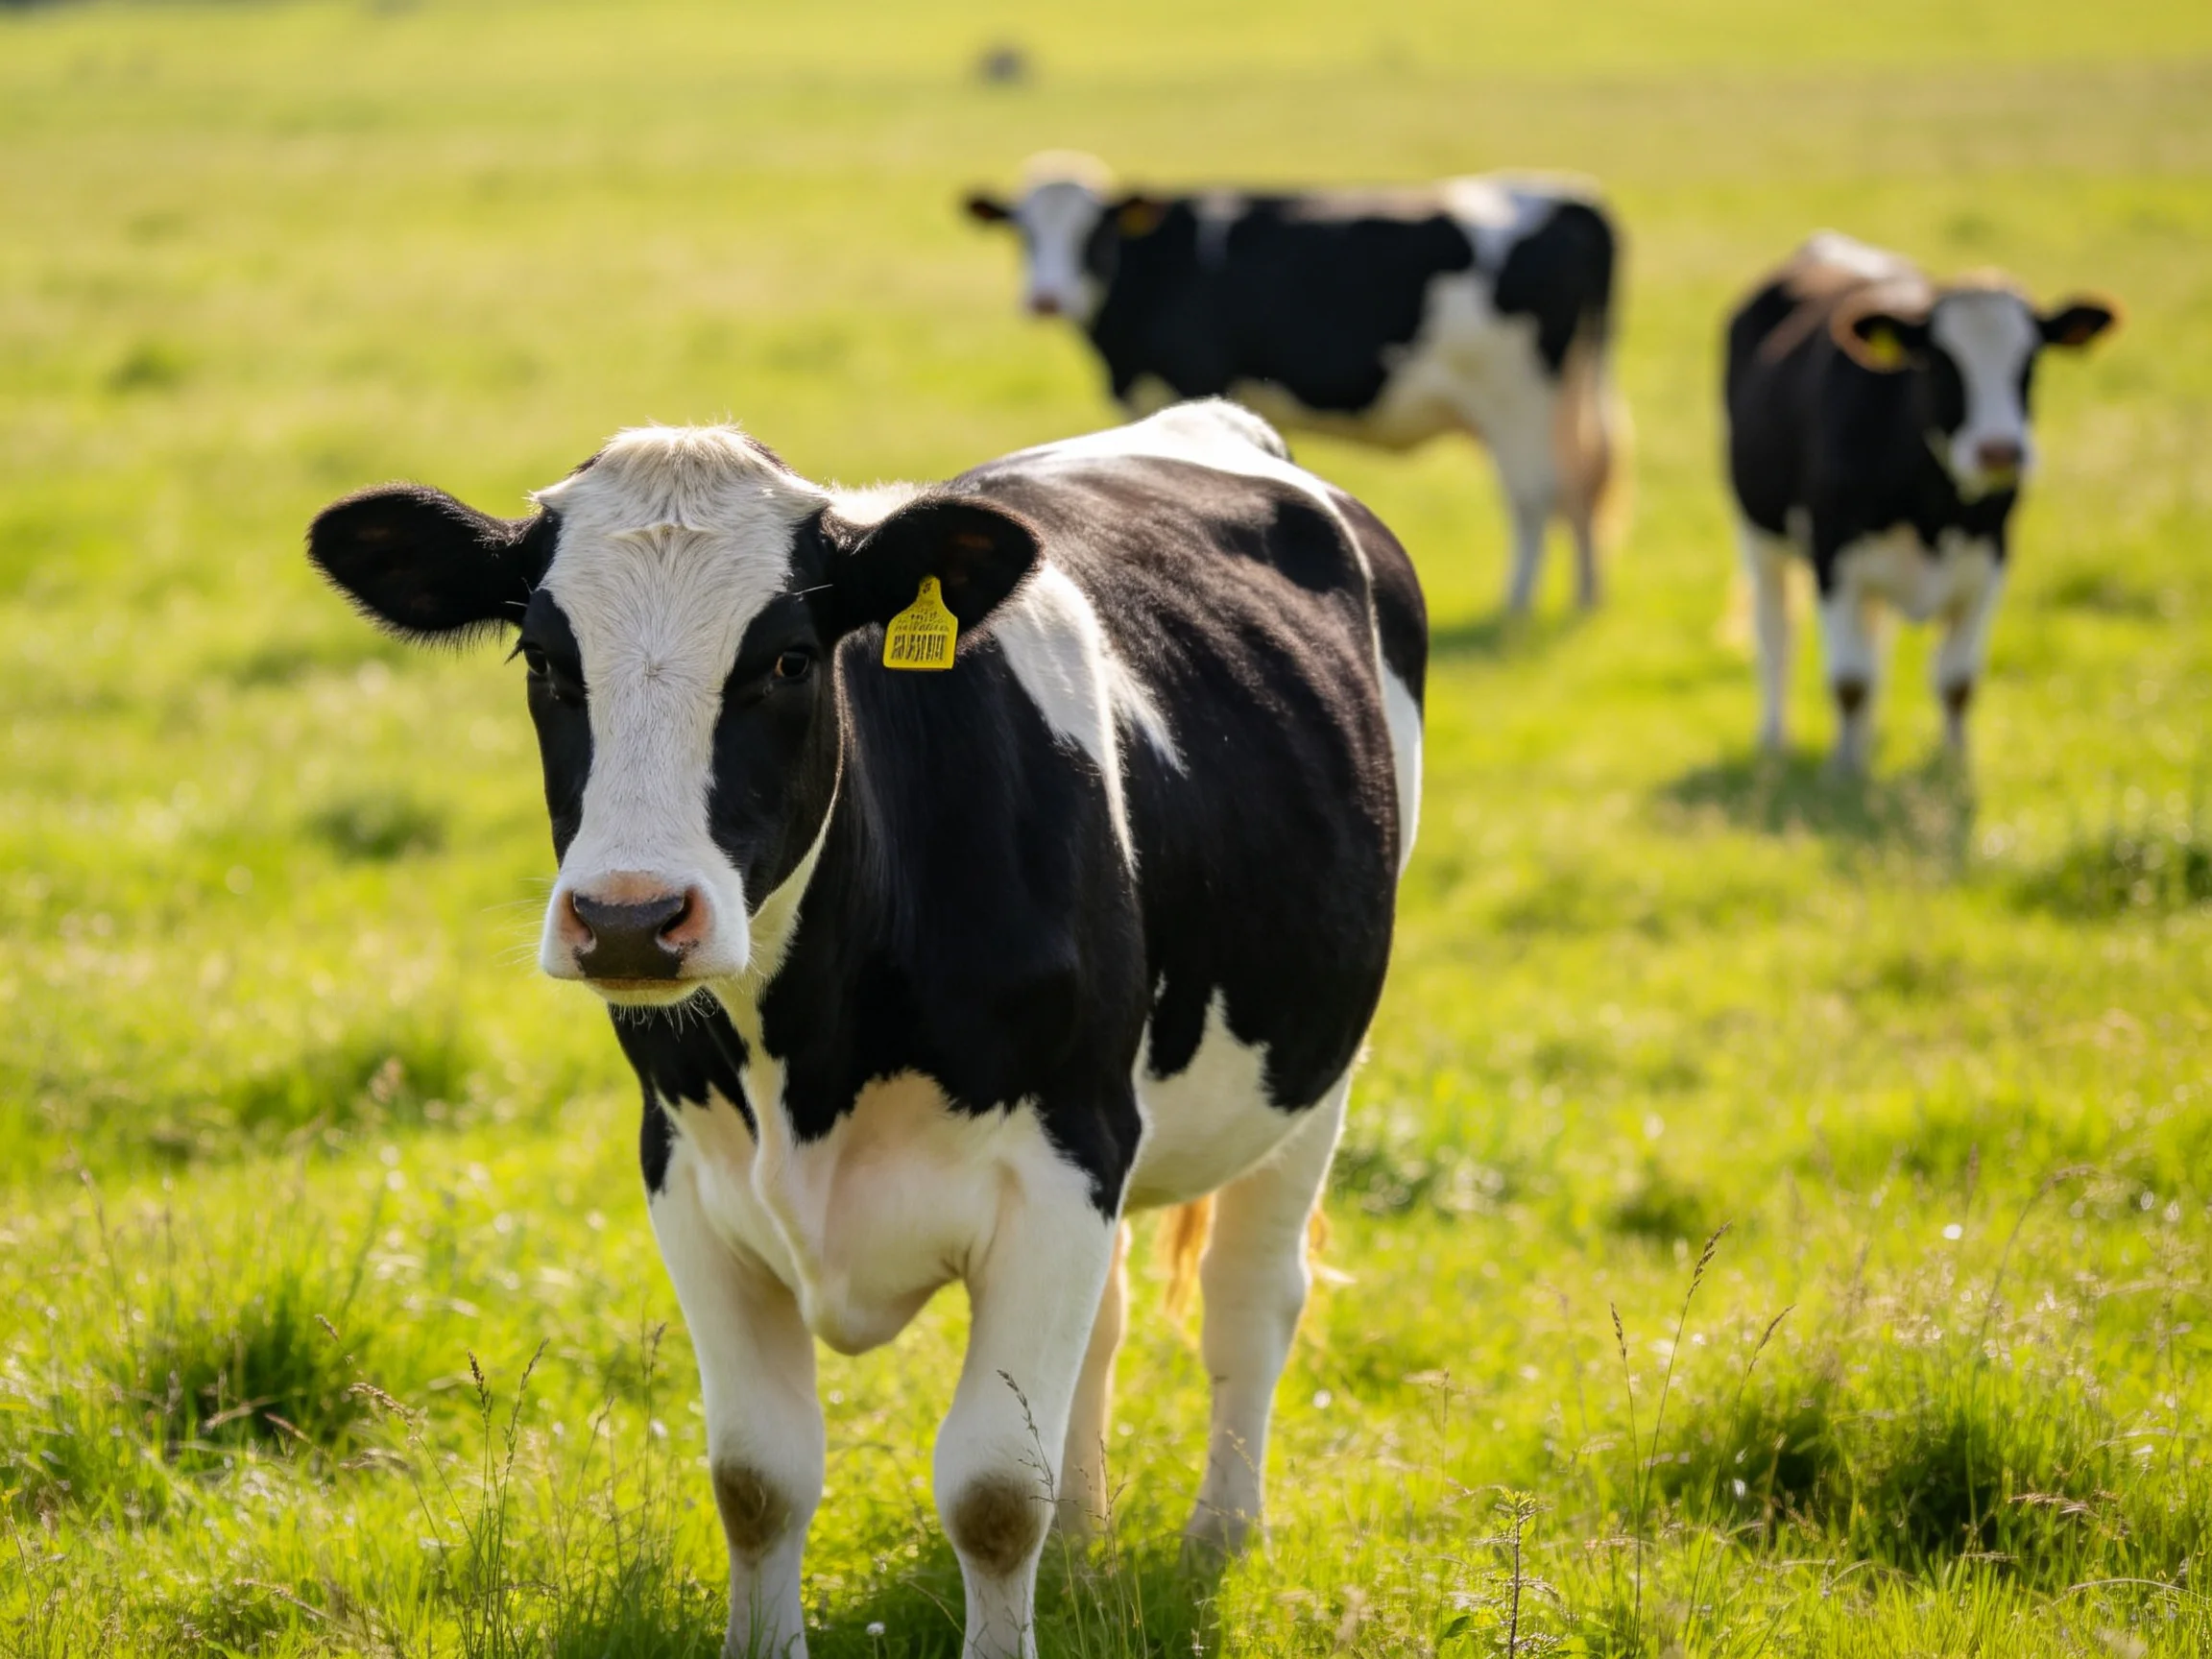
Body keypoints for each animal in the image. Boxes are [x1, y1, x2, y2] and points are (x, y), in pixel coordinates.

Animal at [305, 399, 1426, 1659]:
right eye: (545, 660)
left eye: (789, 659)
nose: (631, 918)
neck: (811, 1058)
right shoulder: (685, 1171)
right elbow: (757, 1479)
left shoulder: (1063, 1159)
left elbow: (994, 1493)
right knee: (1107, 1326)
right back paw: (1086, 1546)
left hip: (1311, 1074)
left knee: (1250, 1302)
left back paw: (1219, 1543)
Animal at [965, 152, 1629, 613]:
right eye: (1024, 232)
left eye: (1094, 233)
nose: (1046, 298)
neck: (1154, 268)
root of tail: (1567, 195)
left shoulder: (1194, 378)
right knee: (1579, 484)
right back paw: (1585, 596)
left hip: (1519, 398)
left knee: (1536, 494)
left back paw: (1517, 605)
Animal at [1724, 232, 2118, 770]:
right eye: (1941, 362)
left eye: (2030, 362)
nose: (2000, 451)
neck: (1933, 507)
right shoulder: (1832, 556)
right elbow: (1850, 680)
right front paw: (1845, 770)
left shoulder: (1990, 558)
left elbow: (1957, 682)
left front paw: (1953, 762)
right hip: (1760, 538)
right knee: (1776, 636)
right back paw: (1774, 738)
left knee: (1876, 640)